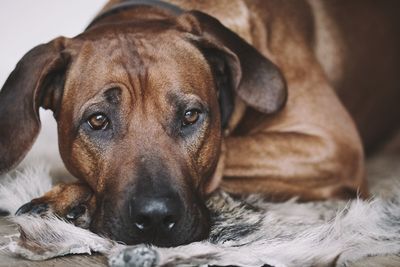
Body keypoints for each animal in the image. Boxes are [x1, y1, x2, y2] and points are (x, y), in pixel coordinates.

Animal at [0, 0, 400, 247]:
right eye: (97, 121)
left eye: (190, 116)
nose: (155, 218)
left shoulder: (333, 144)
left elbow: (225, 152)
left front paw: (71, 196)